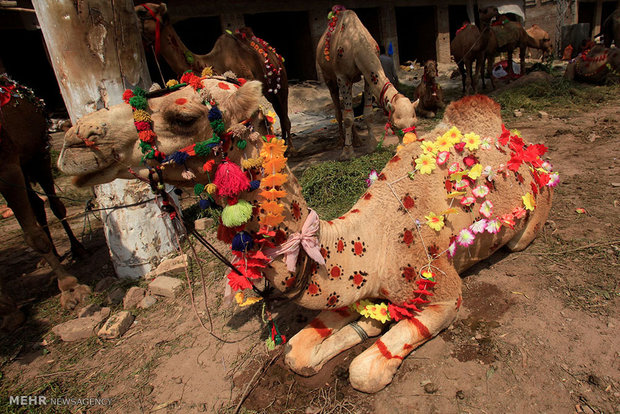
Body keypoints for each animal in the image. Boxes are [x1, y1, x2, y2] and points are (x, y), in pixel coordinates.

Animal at [0, 76, 91, 332]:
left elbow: (34, 237)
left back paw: (77, 250)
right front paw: (8, 312)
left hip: (38, 155)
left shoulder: (7, 164)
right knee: (38, 205)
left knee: (53, 205)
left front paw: (71, 289)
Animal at [58, 70, 556, 392]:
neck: (371, 241)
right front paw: (365, 325)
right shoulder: (349, 286)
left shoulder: (444, 292)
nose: (75, 140)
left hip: (531, 222)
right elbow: (297, 351)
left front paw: (375, 336)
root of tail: (518, 140)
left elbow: (364, 372)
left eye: (183, 117)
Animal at [314, 7, 422, 160]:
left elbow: (368, 113)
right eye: (395, 126)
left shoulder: (367, 75)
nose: (409, 146)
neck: (356, 45)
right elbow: (348, 117)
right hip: (328, 77)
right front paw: (347, 152)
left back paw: (358, 141)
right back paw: (342, 141)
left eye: (415, 123)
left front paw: (372, 145)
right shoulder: (342, 77)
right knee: (338, 110)